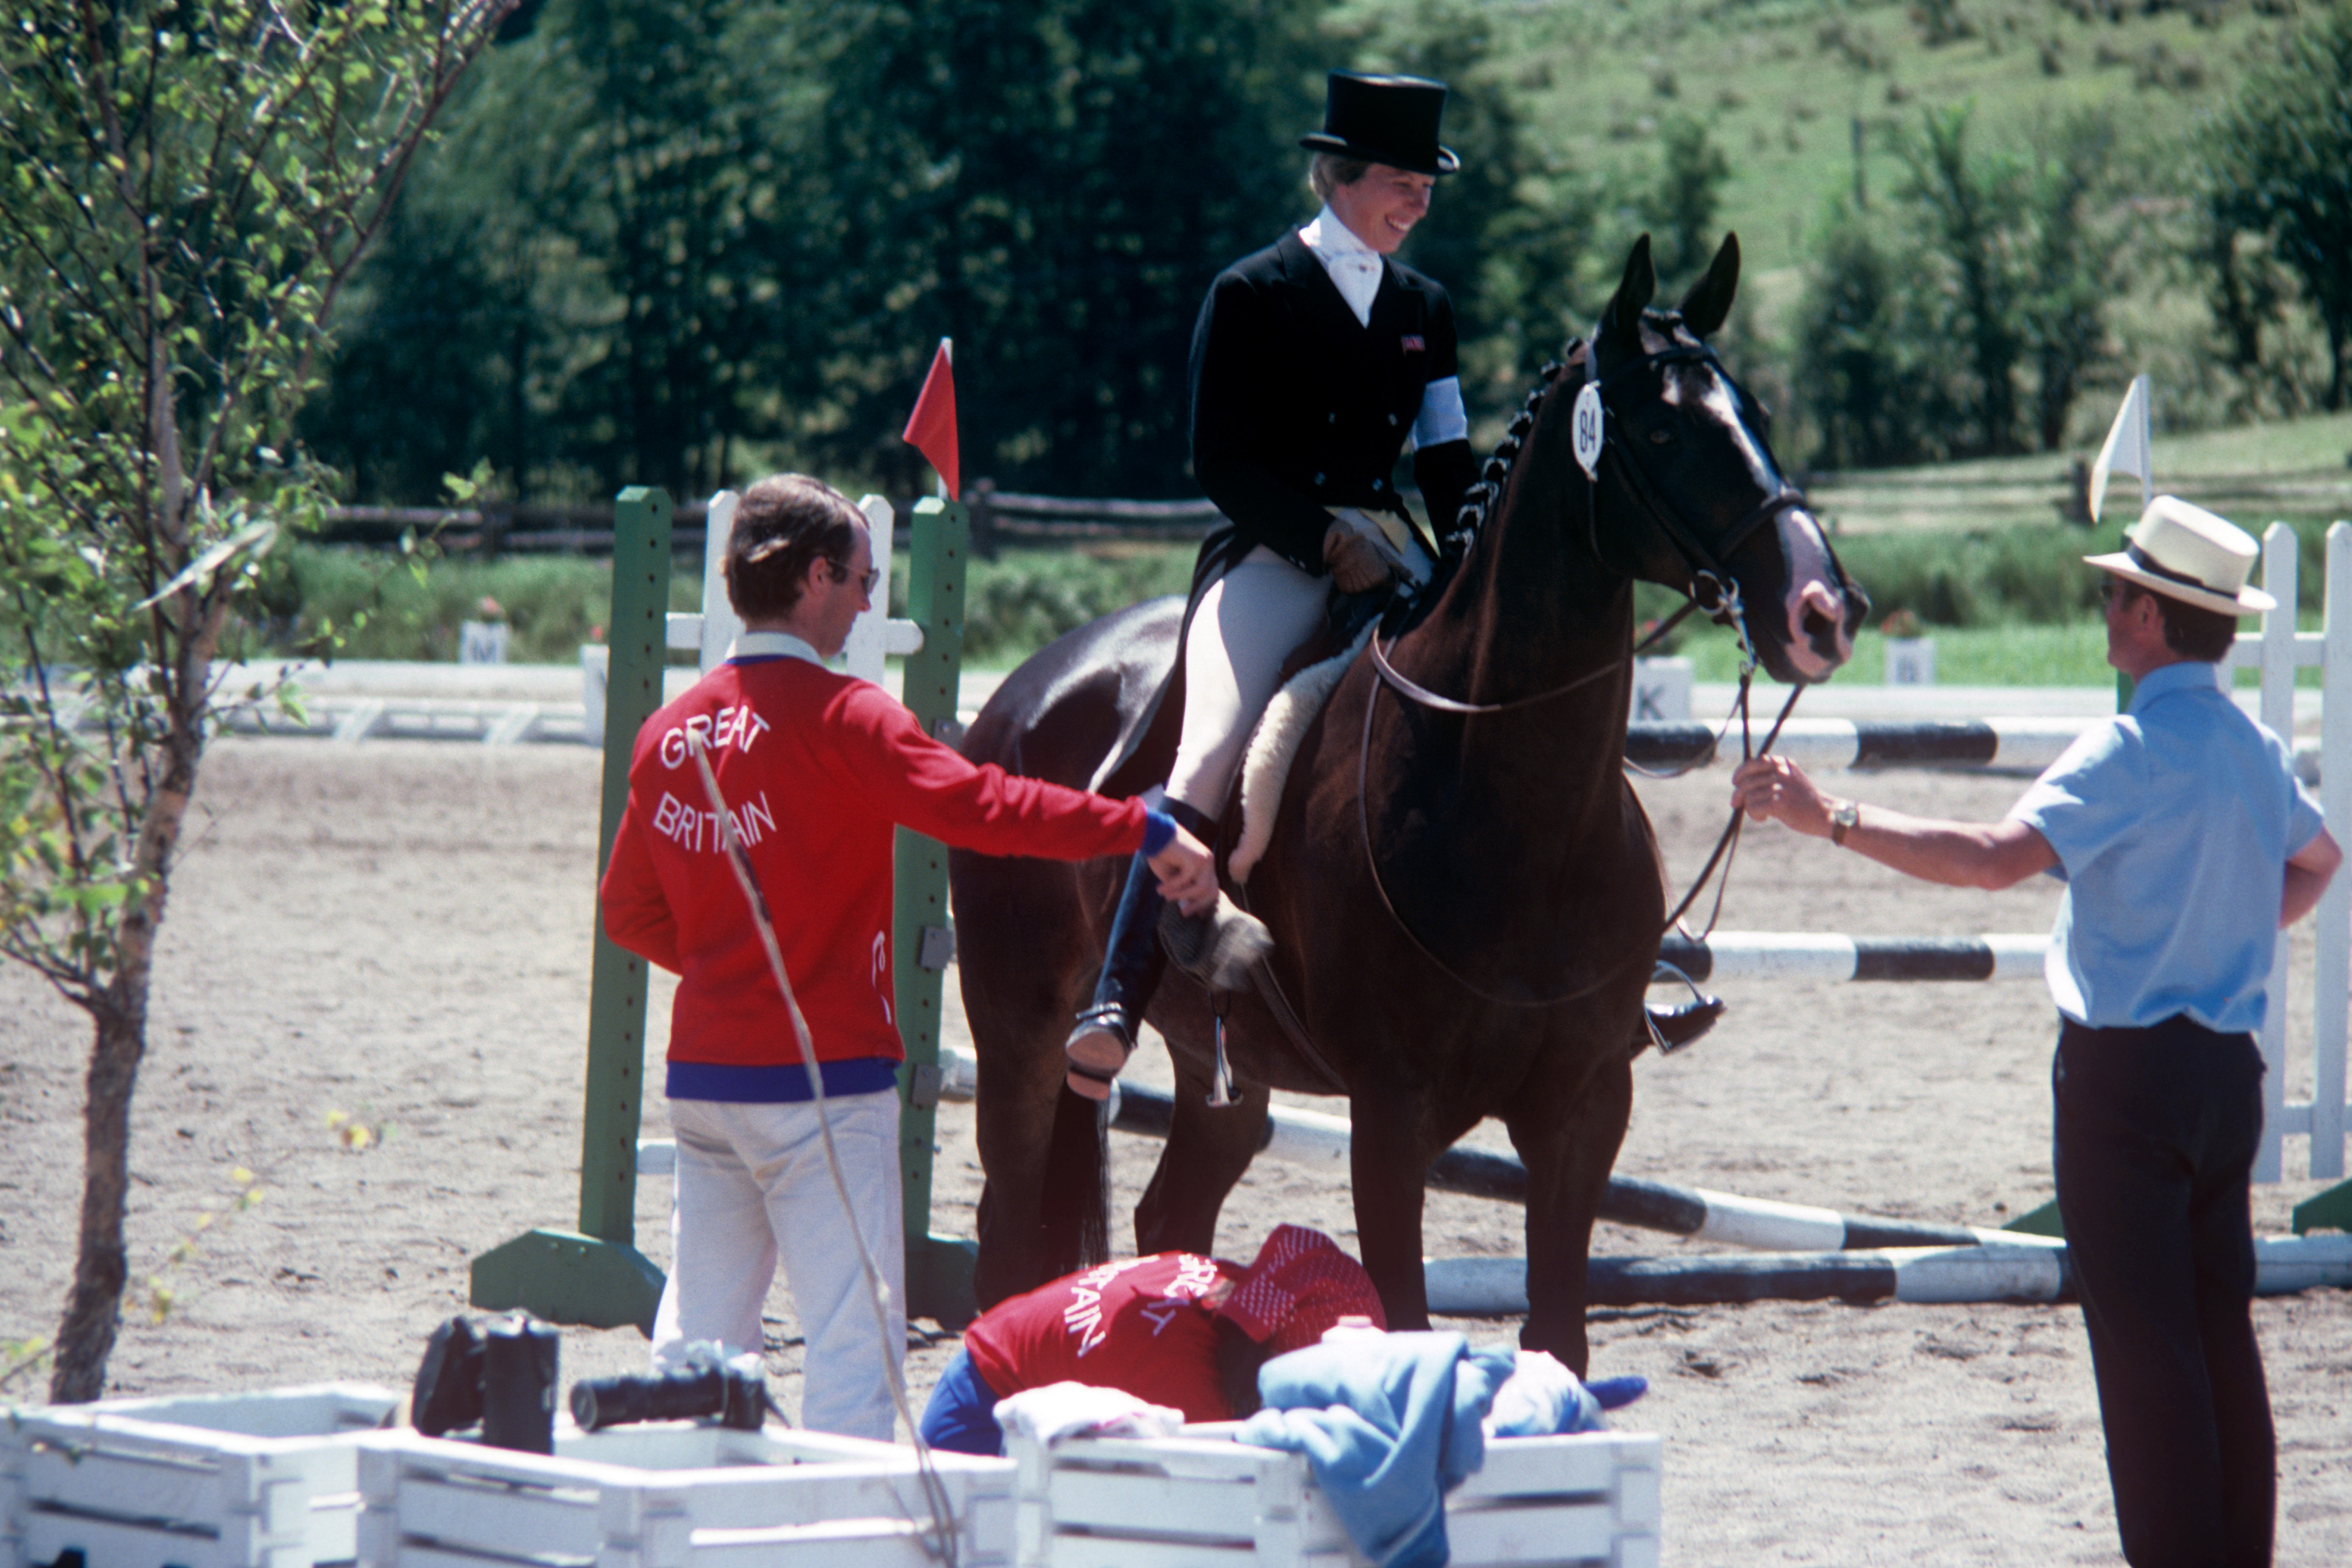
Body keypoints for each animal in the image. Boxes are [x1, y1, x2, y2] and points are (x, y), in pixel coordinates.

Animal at [945, 236, 1863, 1373]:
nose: (1823, 613)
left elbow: (1559, 1336)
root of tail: (1025, 688)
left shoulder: (1584, 1107)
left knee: (1171, 1219)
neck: (1513, 806)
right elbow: (1408, 1318)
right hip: (1020, 1033)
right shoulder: (1390, 1117)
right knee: (1005, 1229)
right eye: (1660, 429)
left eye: (1759, 417)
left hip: (1221, 1065)